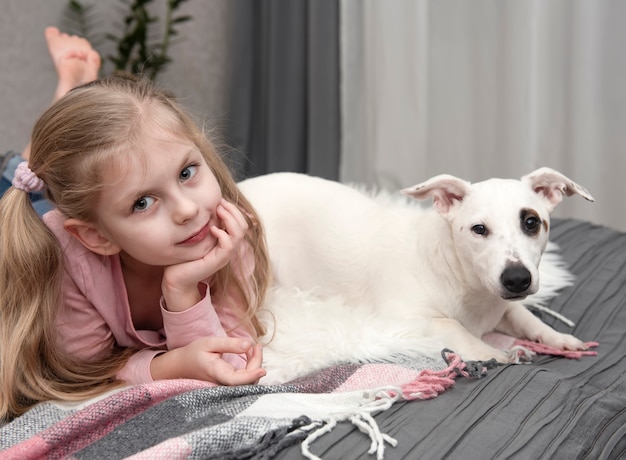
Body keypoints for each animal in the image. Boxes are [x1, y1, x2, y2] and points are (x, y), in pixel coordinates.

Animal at [236, 167, 592, 382]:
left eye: (531, 222)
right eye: (478, 229)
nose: (517, 278)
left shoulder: (503, 304)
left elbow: (525, 317)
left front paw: (557, 338)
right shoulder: (398, 320)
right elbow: (452, 326)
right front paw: (497, 354)